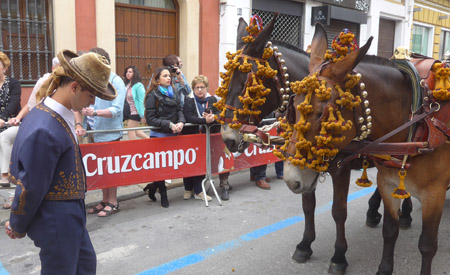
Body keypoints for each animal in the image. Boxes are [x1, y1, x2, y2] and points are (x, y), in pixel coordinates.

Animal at [284, 23, 450, 275]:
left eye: (322, 113)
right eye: (293, 105)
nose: (290, 178)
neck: (414, 122)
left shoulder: (435, 194)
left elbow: (427, 245)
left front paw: (338, 258)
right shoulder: (388, 182)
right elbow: (389, 232)